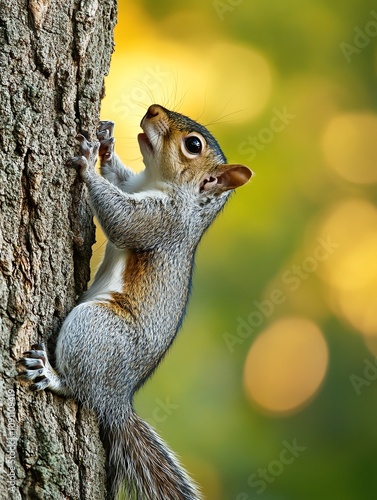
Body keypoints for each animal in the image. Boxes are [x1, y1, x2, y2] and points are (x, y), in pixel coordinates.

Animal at [19, 105, 251, 500]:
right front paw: (105, 143)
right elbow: (118, 177)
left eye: (193, 145)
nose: (153, 110)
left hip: (95, 329)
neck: (159, 184)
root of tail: (117, 399)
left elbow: (123, 222)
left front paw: (86, 165)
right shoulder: (132, 185)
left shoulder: (163, 221)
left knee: (82, 390)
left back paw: (51, 374)